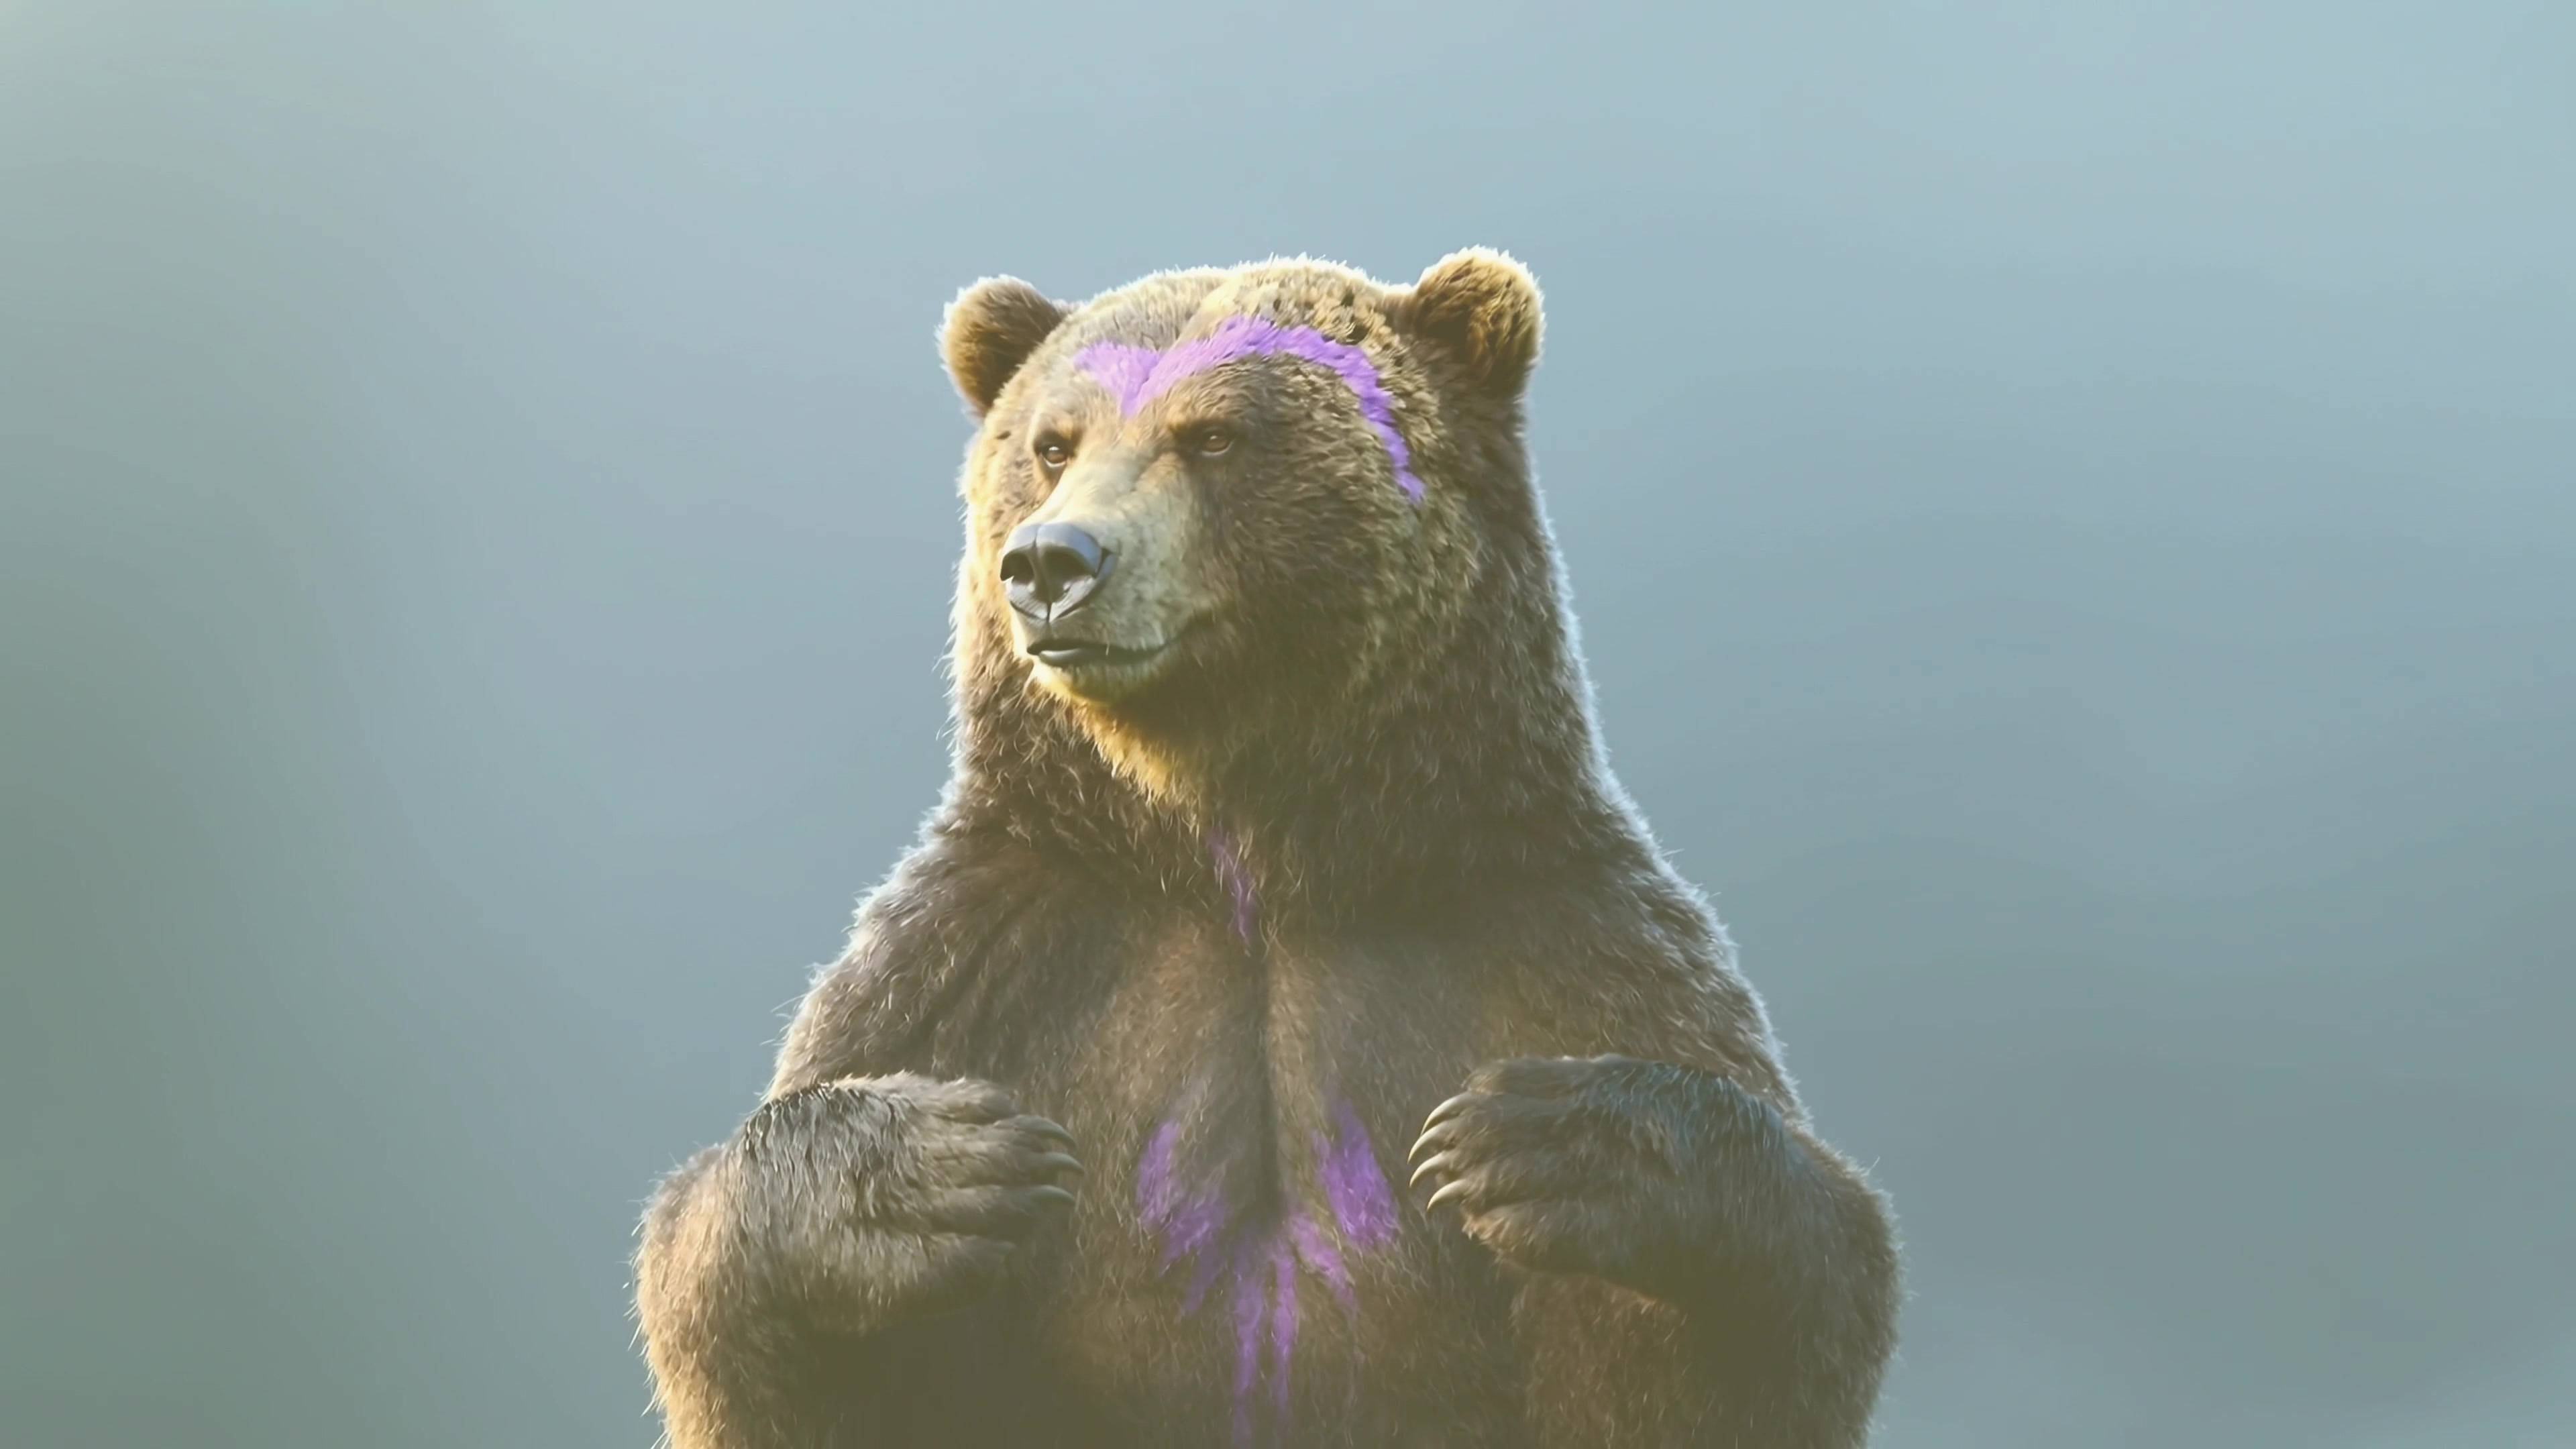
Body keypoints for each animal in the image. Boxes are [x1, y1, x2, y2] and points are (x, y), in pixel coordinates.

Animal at [633, 250, 1901, 1448]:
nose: (1053, 562)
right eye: (1051, 442)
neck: (1249, 855)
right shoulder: (988, 959)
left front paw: (1549, 1145)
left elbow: (1724, 1340)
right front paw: (937, 1170)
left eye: (1214, 435)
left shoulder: (1553, 937)